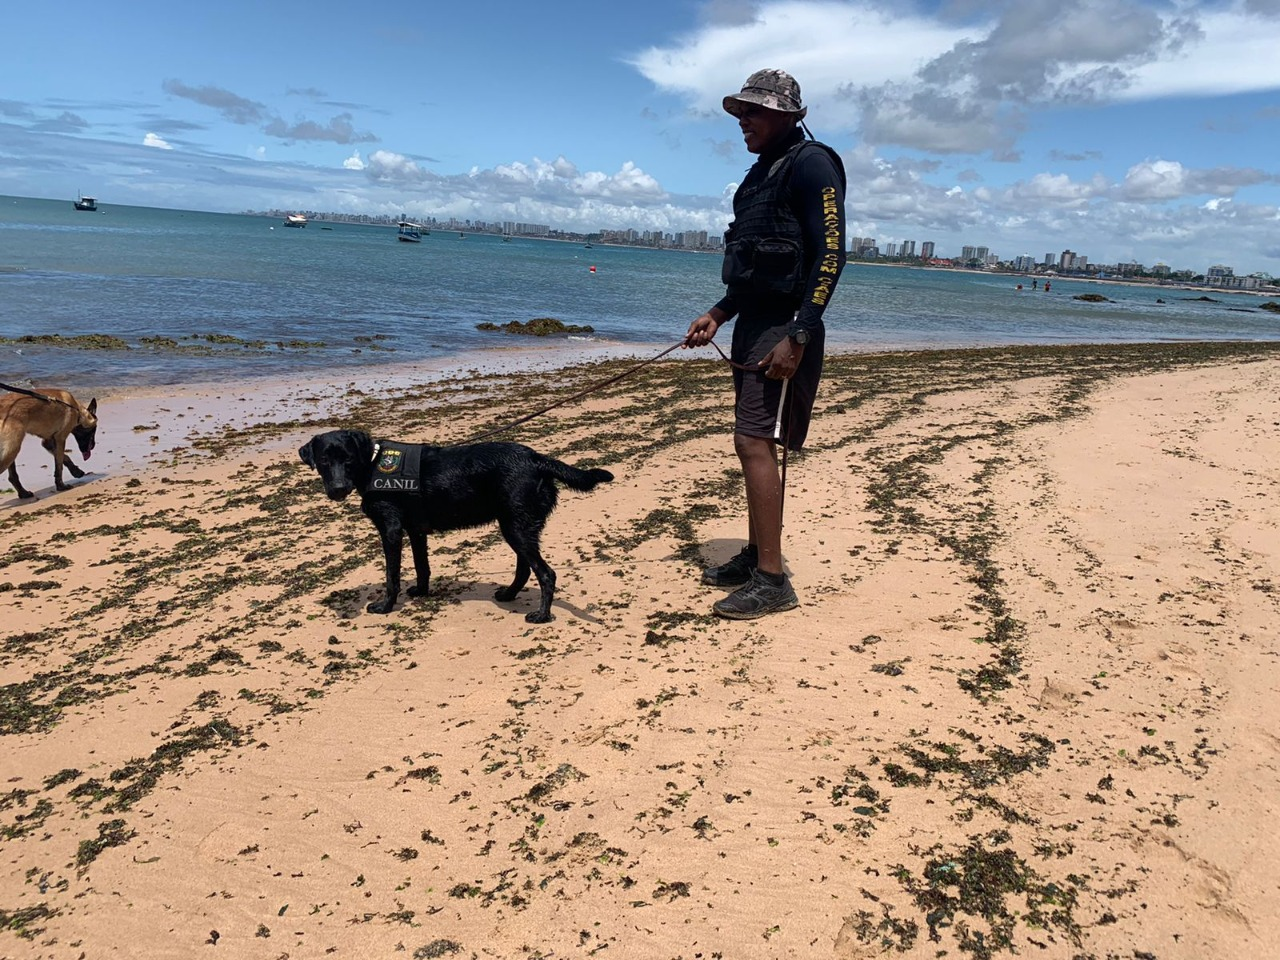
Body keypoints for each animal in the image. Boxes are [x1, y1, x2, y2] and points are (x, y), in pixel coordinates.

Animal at [304, 430, 614, 624]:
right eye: (324, 461)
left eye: (348, 458)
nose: (337, 489)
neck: (371, 463)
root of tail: (537, 459)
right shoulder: (416, 531)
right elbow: (422, 566)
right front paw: (421, 591)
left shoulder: (391, 531)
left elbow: (392, 575)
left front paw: (385, 606)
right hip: (518, 526)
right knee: (526, 569)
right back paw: (509, 594)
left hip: (516, 528)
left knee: (546, 573)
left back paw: (542, 615)